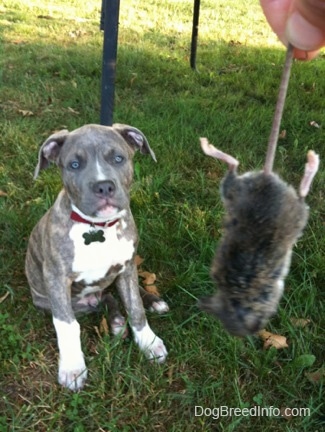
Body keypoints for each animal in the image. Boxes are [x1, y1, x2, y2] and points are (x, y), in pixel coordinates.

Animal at [25, 122, 168, 392]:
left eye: (118, 158)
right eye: (74, 164)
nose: (104, 186)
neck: (98, 227)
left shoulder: (126, 266)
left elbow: (135, 307)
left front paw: (148, 341)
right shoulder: (57, 279)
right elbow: (67, 326)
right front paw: (72, 368)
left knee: (118, 294)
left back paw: (151, 302)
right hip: (55, 301)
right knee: (102, 300)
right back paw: (116, 322)